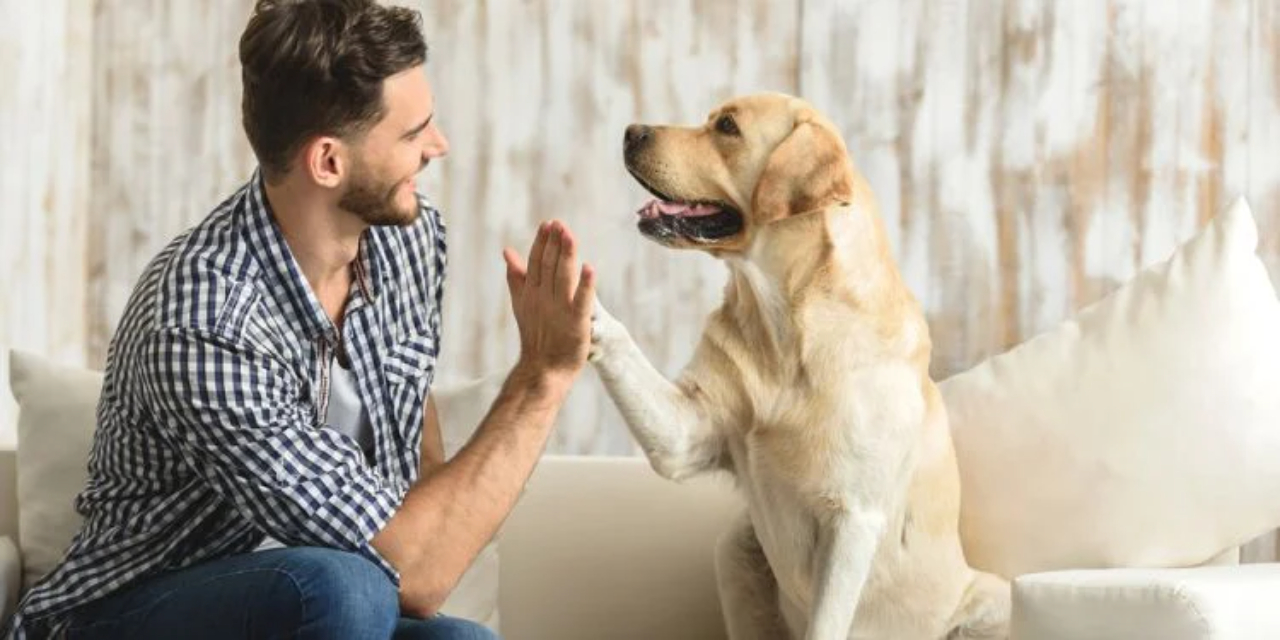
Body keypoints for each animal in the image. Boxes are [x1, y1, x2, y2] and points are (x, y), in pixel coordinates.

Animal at [588, 93, 1008, 640]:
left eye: (727, 127)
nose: (631, 131)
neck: (784, 327)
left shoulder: (853, 517)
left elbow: (826, 624)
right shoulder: (686, 434)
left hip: (993, 600)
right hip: (735, 548)